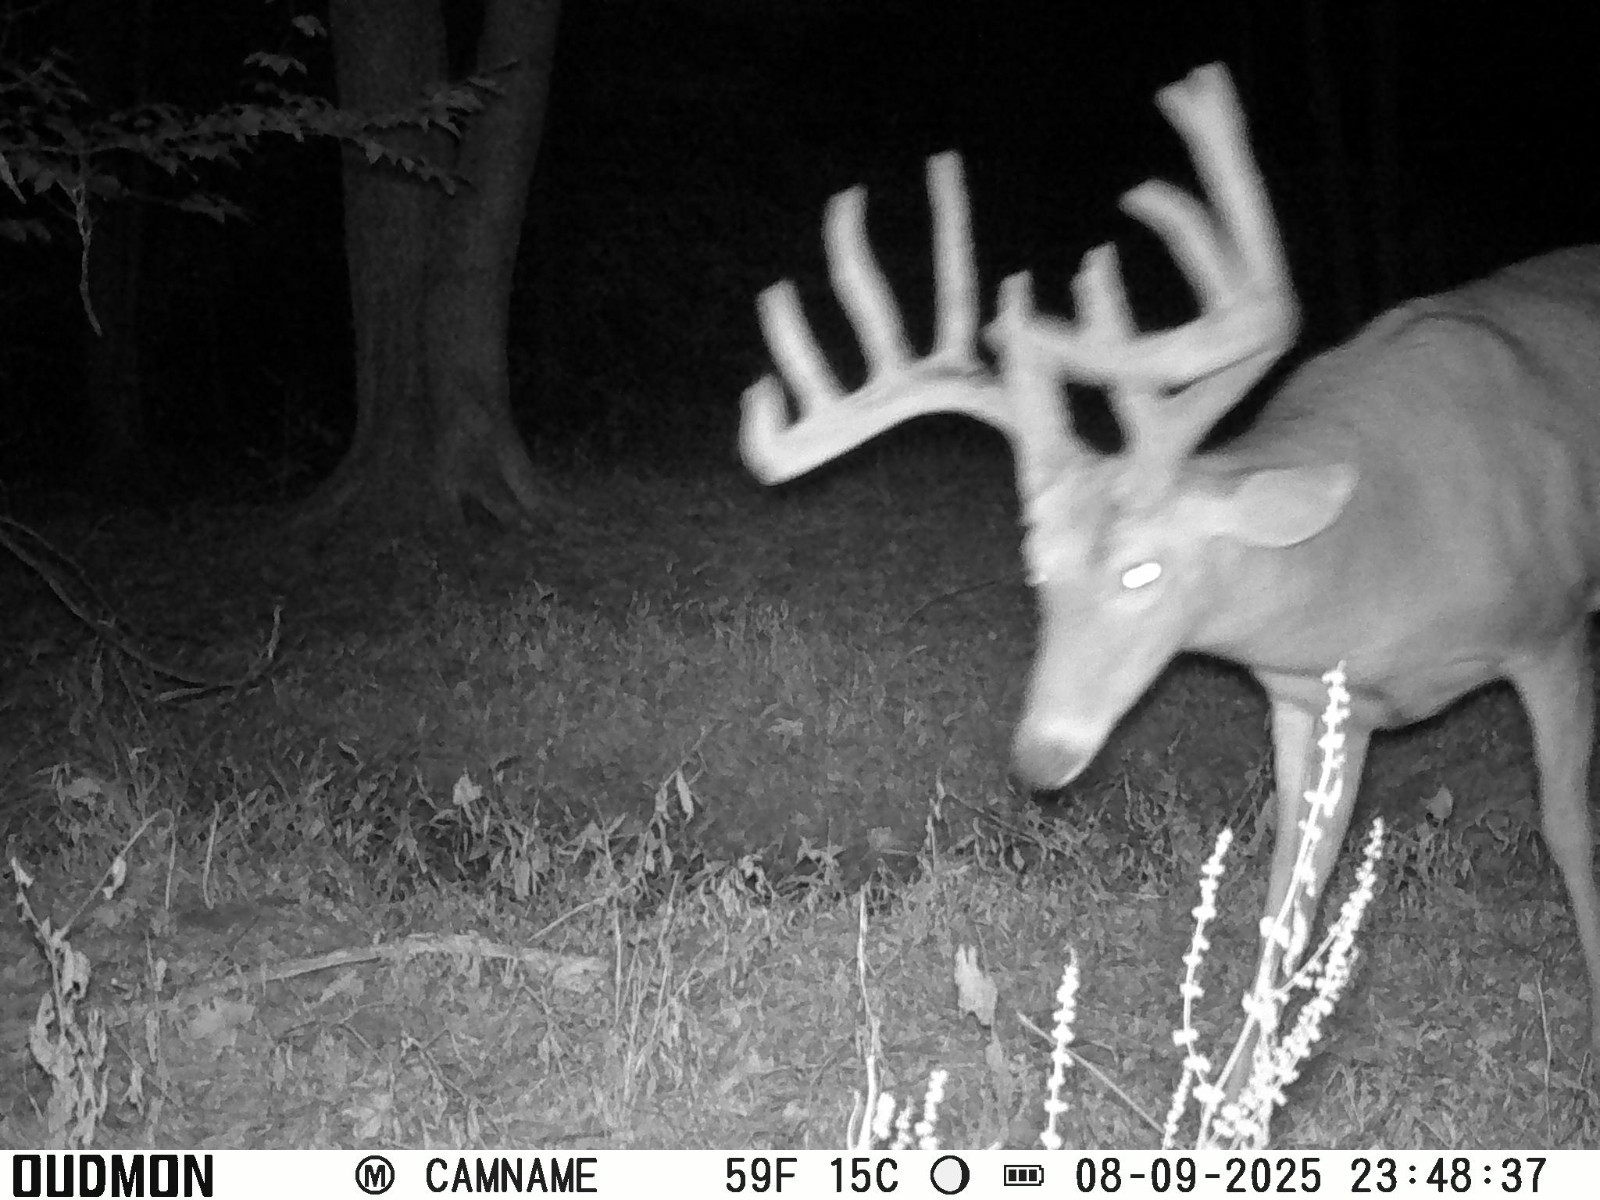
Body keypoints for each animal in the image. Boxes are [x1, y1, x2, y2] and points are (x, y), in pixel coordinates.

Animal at [738, 62, 1600, 1095]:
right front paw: (1239, 1089)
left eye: (1144, 569)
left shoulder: (1552, 632)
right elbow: (1290, 885)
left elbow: (1568, 827)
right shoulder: (1310, 699)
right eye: (1037, 567)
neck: (1384, 557)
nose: (1039, 760)